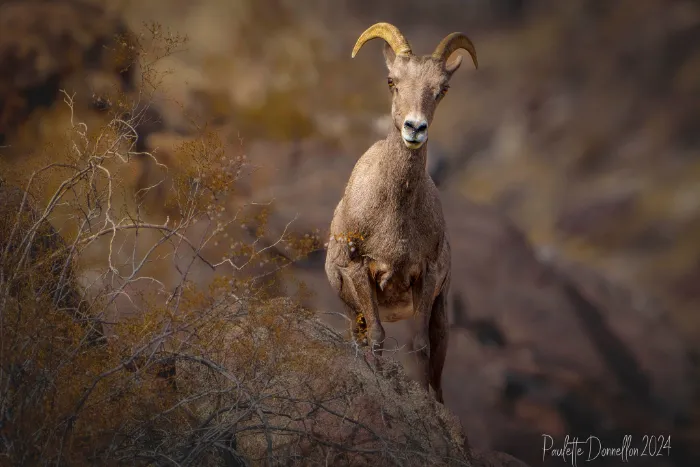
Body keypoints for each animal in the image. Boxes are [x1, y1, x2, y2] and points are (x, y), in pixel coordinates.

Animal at [324, 22, 477, 403]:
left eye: (442, 90)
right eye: (392, 81)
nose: (415, 128)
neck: (394, 215)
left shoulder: (426, 274)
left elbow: (420, 347)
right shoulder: (360, 270)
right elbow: (377, 337)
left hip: (441, 312)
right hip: (354, 311)